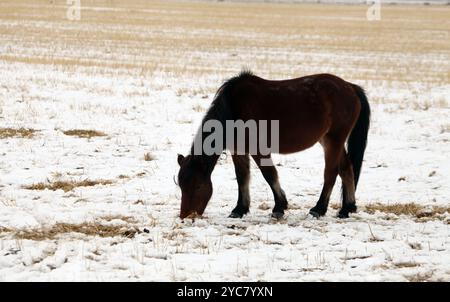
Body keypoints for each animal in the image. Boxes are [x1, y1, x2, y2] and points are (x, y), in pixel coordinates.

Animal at [176, 72, 370, 221]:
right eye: (181, 185)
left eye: (198, 186)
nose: (186, 215)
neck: (234, 109)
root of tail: (350, 87)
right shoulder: (238, 150)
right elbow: (242, 177)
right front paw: (239, 209)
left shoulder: (258, 149)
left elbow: (269, 174)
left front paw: (279, 207)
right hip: (329, 140)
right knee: (346, 169)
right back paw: (347, 208)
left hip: (334, 140)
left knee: (331, 173)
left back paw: (319, 209)